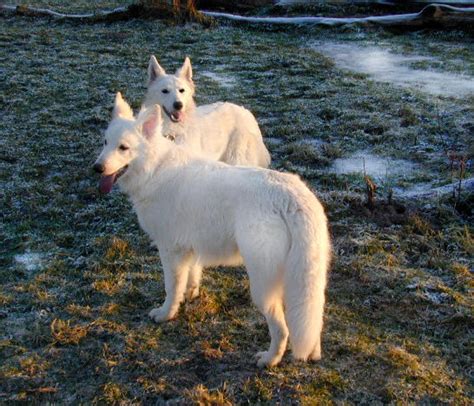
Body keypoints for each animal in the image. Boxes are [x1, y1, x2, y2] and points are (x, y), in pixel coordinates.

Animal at [92, 94, 330, 368]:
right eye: (105, 142)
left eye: (123, 148)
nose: (97, 168)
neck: (155, 169)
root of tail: (291, 196)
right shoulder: (191, 248)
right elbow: (192, 276)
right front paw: (191, 295)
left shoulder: (170, 250)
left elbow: (171, 288)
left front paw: (166, 314)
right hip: (308, 285)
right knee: (311, 322)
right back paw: (312, 354)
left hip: (262, 287)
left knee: (282, 330)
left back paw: (269, 359)